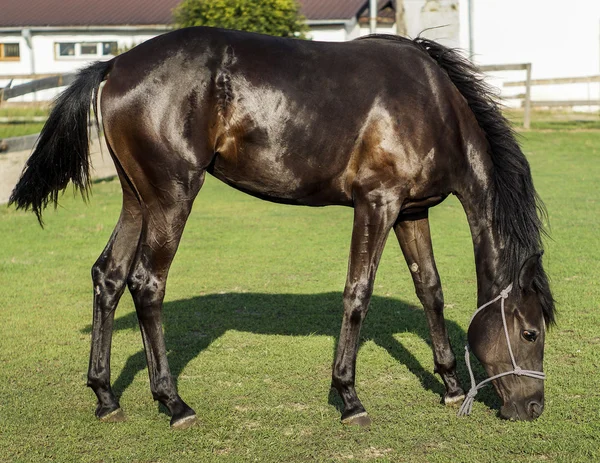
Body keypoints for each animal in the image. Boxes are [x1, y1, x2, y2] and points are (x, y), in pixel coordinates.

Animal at [9, 27, 556, 430]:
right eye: (530, 332)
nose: (533, 408)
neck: (433, 104)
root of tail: (115, 65)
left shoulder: (410, 212)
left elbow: (431, 291)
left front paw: (449, 385)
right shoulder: (376, 204)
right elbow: (358, 292)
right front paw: (349, 396)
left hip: (136, 200)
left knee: (109, 276)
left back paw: (106, 396)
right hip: (171, 198)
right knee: (147, 283)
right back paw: (173, 403)